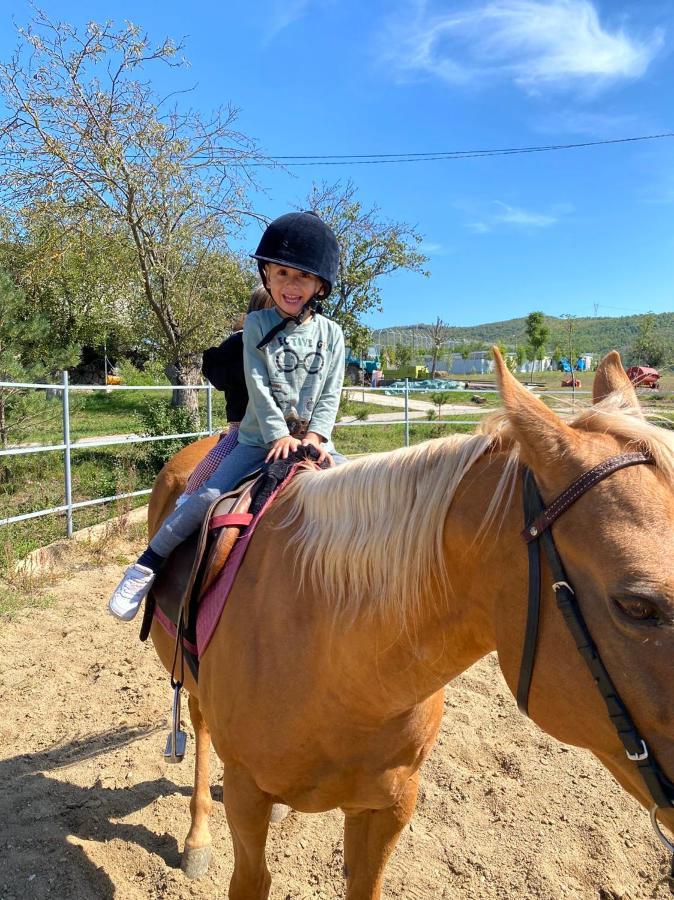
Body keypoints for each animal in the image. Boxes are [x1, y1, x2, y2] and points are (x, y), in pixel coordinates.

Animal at [148, 354, 672, 900]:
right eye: (636, 607)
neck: (340, 671)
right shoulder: (248, 797)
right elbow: (251, 878)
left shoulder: (390, 805)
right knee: (199, 721)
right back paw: (197, 838)